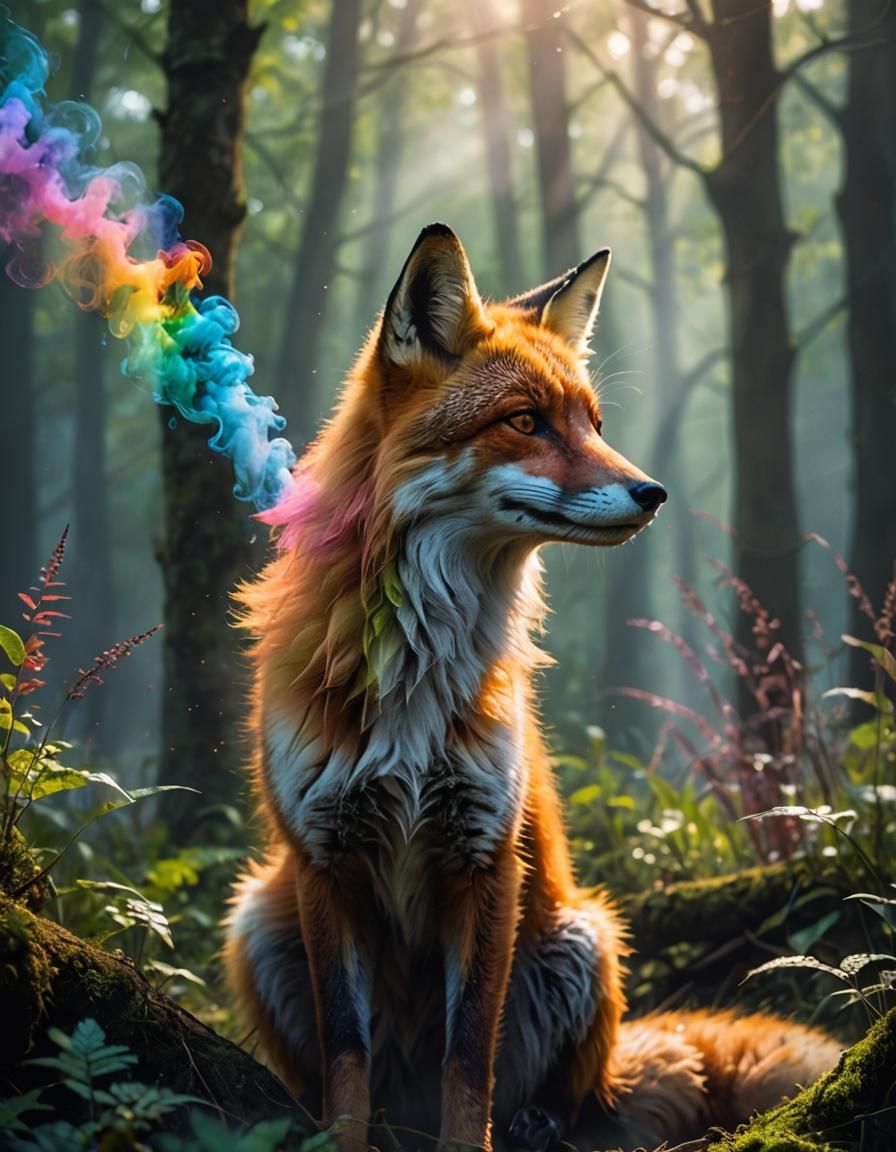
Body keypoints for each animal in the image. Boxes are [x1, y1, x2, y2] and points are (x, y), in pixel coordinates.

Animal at [224, 224, 840, 1151]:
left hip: (587, 935)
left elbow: (467, 1058)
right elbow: (345, 1060)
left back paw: (541, 1123)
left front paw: (467, 1140)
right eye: (525, 421)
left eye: (594, 422)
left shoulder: (484, 854)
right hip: (259, 917)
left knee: (575, 1102)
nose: (653, 492)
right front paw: (341, 1138)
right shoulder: (324, 858)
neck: (418, 668)